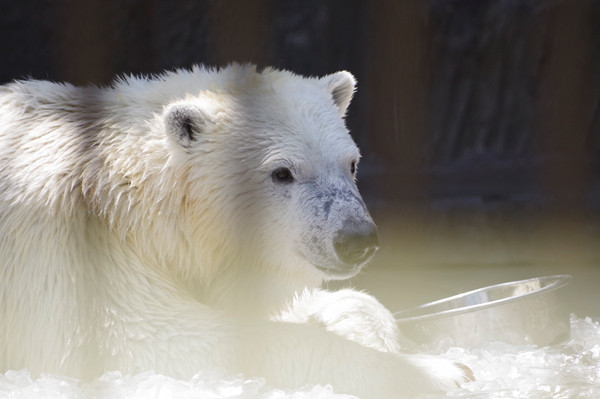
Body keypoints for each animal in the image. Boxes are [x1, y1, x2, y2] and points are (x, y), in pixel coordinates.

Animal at [0, 64, 468, 398]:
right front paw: (444, 371)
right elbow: (148, 342)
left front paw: (359, 322)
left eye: (351, 163)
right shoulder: (72, 250)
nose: (356, 239)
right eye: (282, 172)